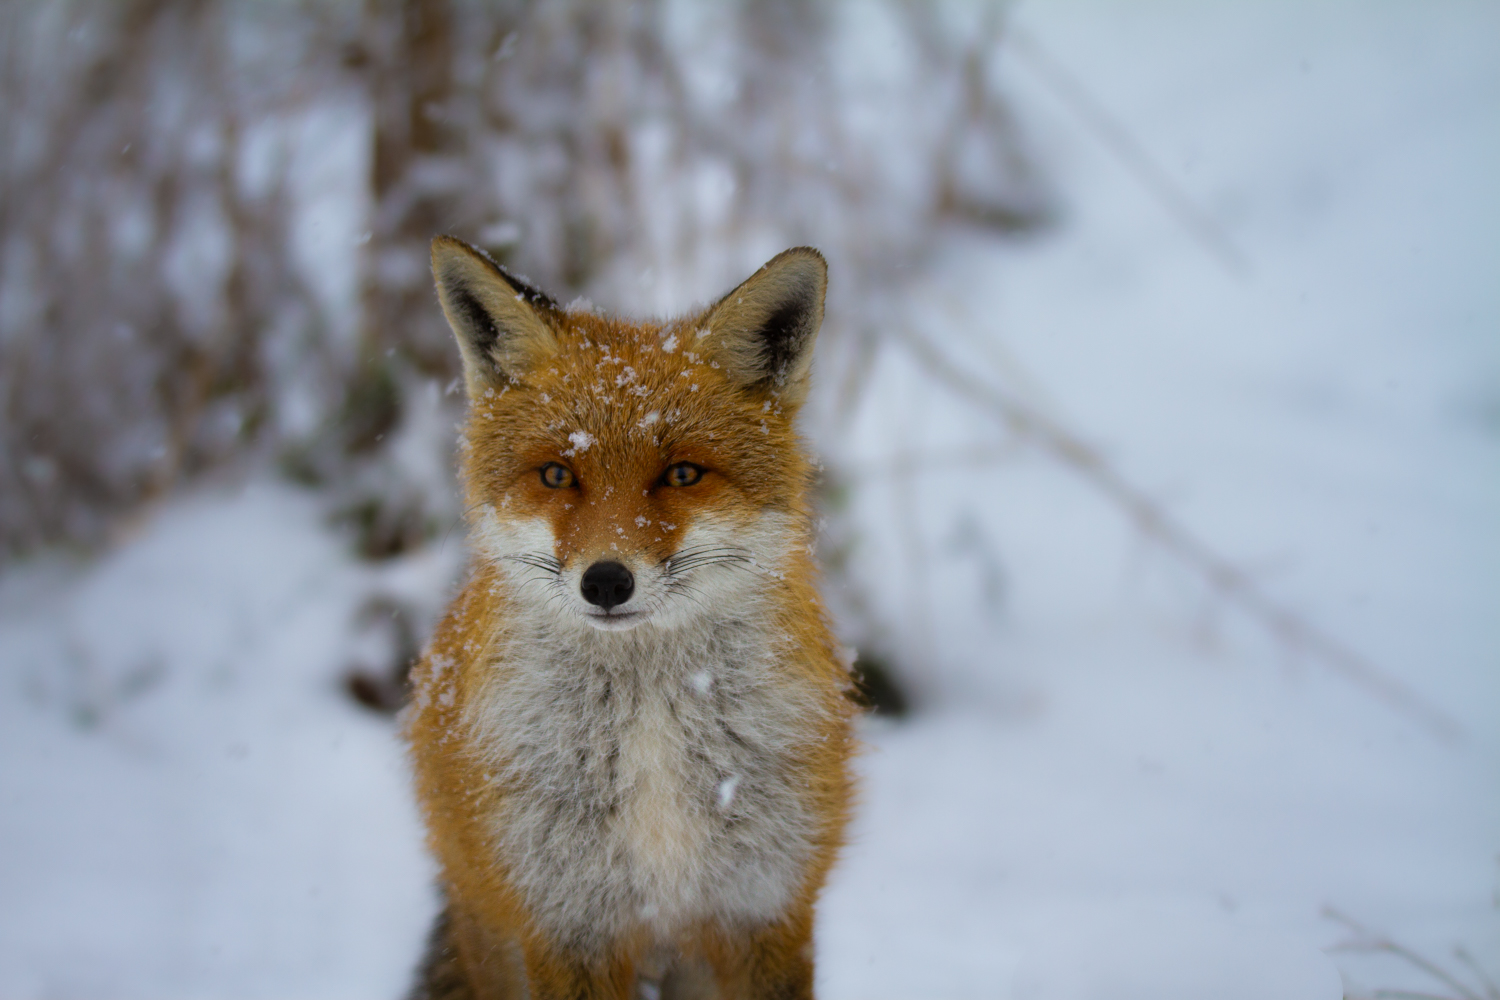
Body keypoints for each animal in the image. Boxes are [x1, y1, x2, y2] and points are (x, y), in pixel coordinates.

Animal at [402, 236, 858, 1000]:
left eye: (682, 474)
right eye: (558, 475)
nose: (607, 582)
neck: (650, 737)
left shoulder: (763, 909)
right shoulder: (568, 923)